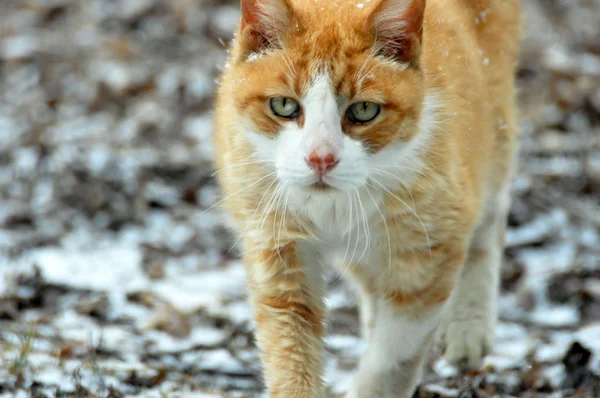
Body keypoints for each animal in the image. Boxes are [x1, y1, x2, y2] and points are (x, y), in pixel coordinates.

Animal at [214, 0, 520, 396]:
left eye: (363, 110)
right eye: (283, 105)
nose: (321, 159)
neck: (335, 206)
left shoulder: (429, 252)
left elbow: (392, 357)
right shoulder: (277, 248)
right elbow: (290, 347)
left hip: (492, 133)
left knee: (489, 221)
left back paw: (469, 327)